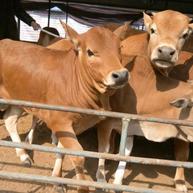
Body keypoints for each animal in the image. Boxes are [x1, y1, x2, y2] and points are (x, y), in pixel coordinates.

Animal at [0, 22, 128, 191]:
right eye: (90, 52)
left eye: (120, 48)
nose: (121, 75)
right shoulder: (59, 121)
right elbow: (78, 155)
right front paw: (81, 188)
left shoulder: (71, 125)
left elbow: (62, 150)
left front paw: (57, 179)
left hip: (20, 99)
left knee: (9, 119)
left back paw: (23, 155)